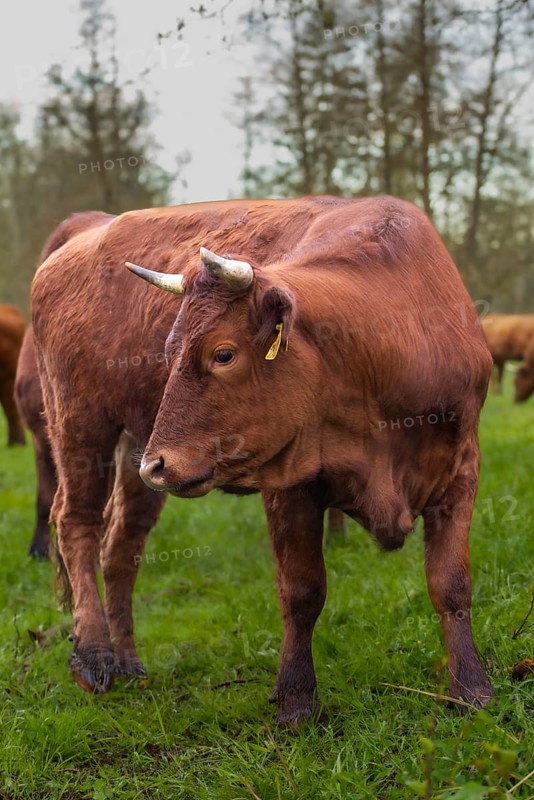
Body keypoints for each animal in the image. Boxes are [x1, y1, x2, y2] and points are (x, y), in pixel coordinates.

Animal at [31, 196, 493, 723]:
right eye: (170, 352)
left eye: (223, 354)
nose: (159, 464)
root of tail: (90, 227)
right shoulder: (289, 487)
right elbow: (302, 591)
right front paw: (295, 698)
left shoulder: (460, 470)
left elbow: (451, 583)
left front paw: (472, 687)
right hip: (80, 426)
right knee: (77, 522)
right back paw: (94, 655)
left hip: (134, 445)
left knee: (121, 544)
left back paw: (128, 661)